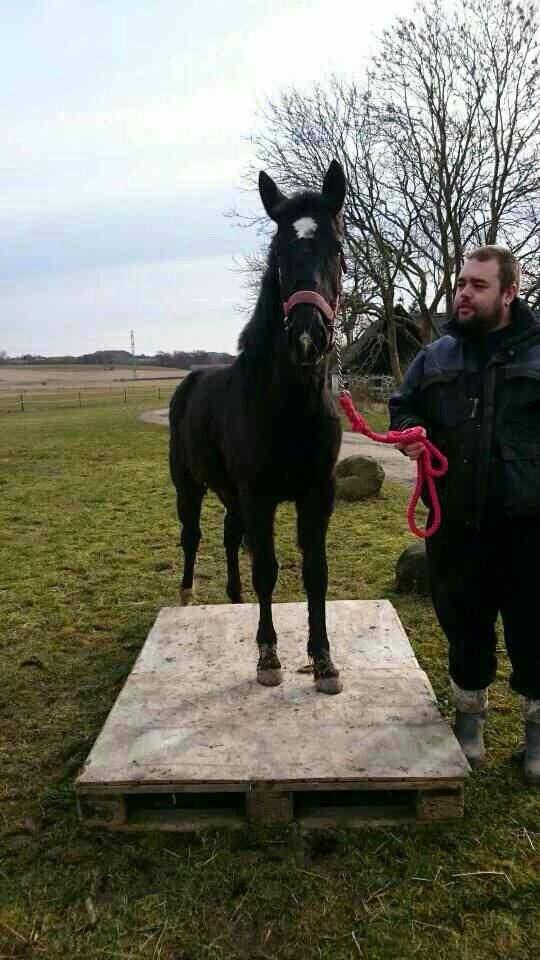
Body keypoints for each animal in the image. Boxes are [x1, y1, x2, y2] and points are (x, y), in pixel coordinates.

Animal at [170, 161, 346, 692]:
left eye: (336, 248)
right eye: (278, 253)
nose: (308, 337)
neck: (288, 406)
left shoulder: (317, 493)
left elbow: (315, 571)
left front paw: (324, 661)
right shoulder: (259, 494)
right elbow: (266, 568)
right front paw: (268, 657)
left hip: (231, 494)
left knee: (230, 537)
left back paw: (233, 597)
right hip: (190, 487)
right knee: (193, 536)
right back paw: (187, 597)